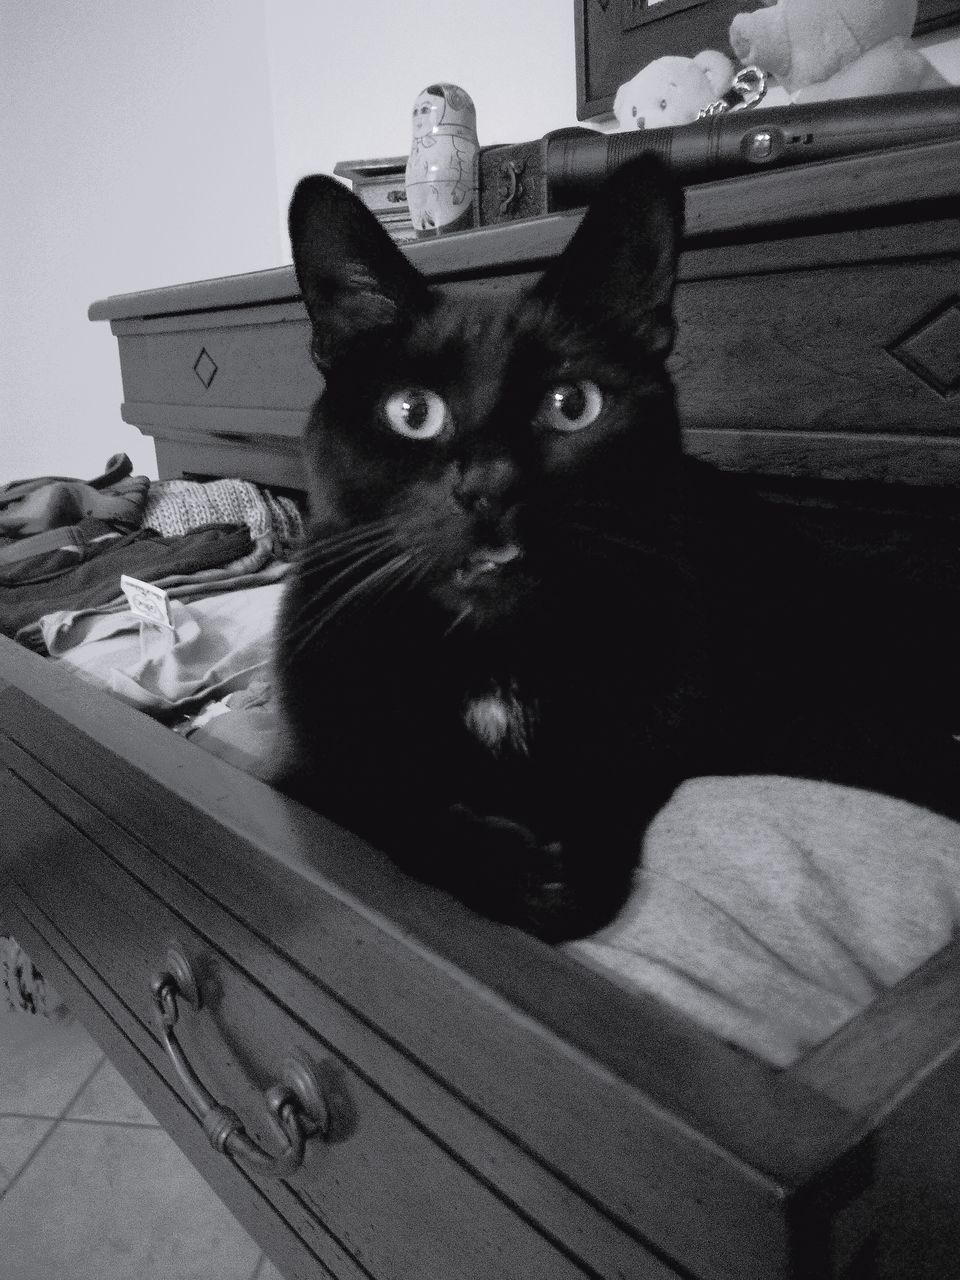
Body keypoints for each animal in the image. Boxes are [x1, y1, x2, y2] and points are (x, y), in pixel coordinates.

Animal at [272, 157, 960, 942]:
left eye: (574, 405)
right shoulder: (311, 772)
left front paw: (561, 870)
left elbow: (609, 794)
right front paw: (515, 865)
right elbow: (392, 806)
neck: (497, 663)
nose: (490, 486)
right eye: (412, 412)